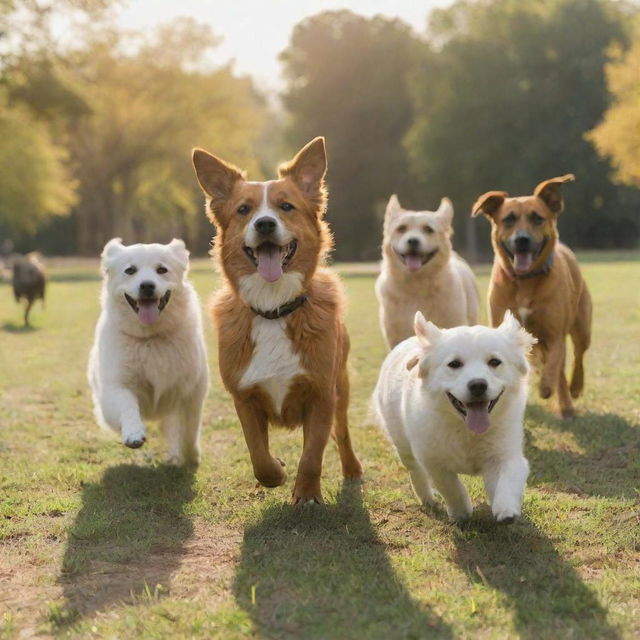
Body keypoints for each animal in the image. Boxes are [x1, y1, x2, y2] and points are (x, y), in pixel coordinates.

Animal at [87, 238, 208, 462]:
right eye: (130, 270)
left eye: (162, 270)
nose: (147, 286)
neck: (150, 339)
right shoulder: (117, 387)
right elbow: (127, 406)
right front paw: (133, 434)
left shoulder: (191, 393)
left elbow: (188, 431)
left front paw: (189, 457)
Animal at [190, 138, 362, 502]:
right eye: (244, 210)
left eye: (286, 207)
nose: (265, 224)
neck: (272, 309)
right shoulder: (244, 397)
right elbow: (258, 455)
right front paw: (277, 472)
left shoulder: (322, 395)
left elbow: (312, 455)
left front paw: (307, 495)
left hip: (341, 386)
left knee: (341, 432)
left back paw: (352, 468)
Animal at [376, 312, 536, 524]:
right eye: (454, 364)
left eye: (494, 362)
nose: (478, 384)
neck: (466, 430)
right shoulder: (433, 461)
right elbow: (451, 487)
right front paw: (461, 512)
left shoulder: (505, 454)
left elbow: (507, 480)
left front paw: (506, 510)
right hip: (403, 445)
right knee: (415, 472)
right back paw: (426, 498)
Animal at [472, 174, 592, 420]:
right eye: (508, 219)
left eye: (537, 218)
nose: (522, 240)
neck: (525, 281)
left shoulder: (555, 334)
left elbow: (554, 365)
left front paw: (546, 388)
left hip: (582, 326)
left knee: (576, 357)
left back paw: (572, 392)